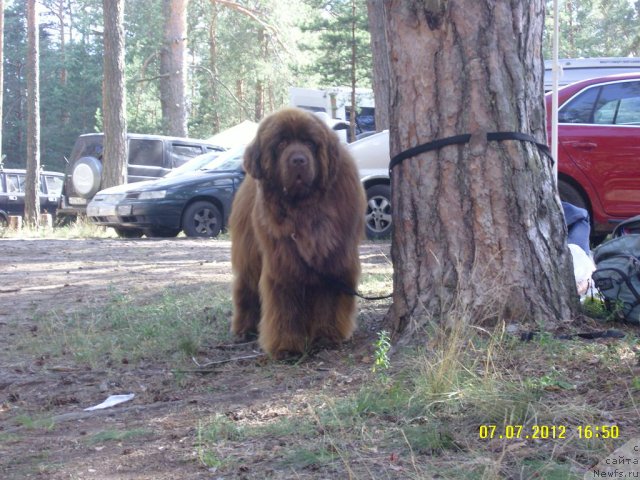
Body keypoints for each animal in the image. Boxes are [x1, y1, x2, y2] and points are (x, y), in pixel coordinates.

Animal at [231, 108, 364, 356]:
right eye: (282, 143)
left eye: (309, 143)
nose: (299, 160)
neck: (304, 209)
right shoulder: (283, 262)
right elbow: (285, 306)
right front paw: (287, 346)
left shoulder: (334, 259)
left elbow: (328, 301)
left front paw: (327, 335)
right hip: (249, 253)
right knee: (247, 287)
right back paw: (244, 328)